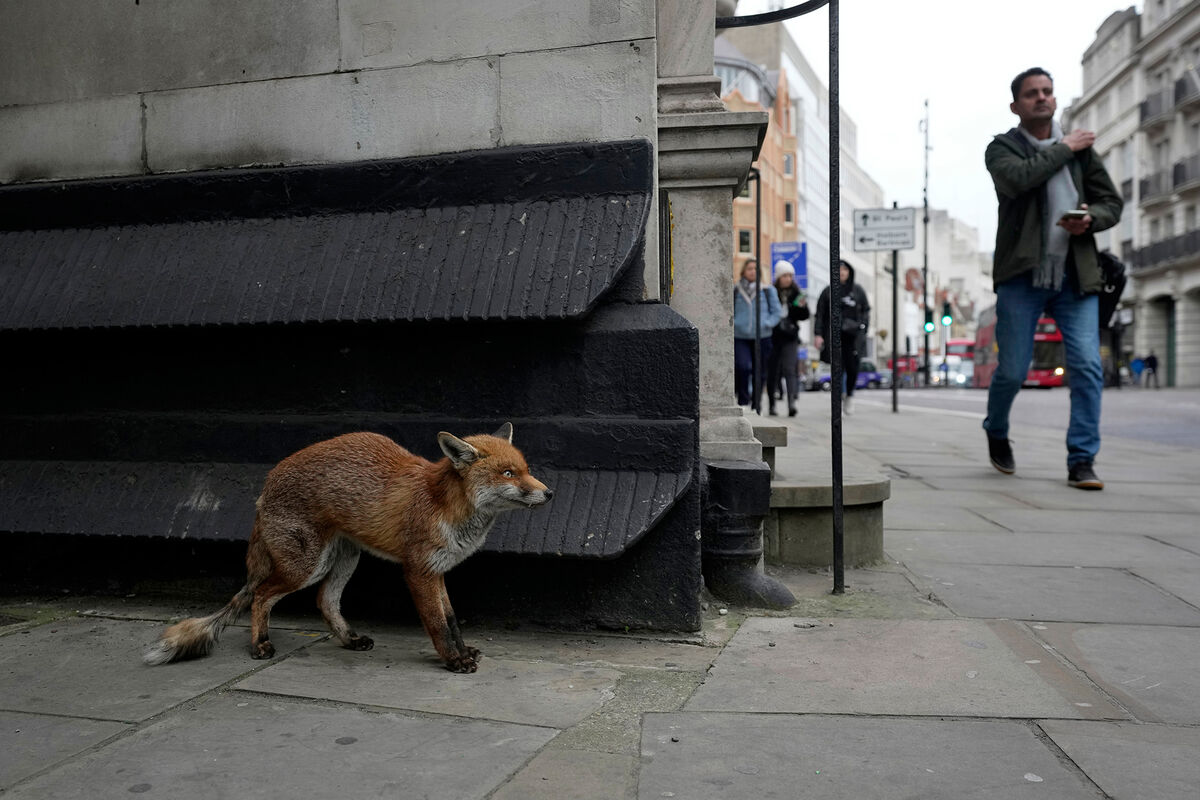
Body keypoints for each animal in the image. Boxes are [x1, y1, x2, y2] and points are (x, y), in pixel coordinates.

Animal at [145, 424, 552, 676]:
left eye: (526, 469)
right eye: (508, 474)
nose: (549, 493)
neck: (445, 506)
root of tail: (265, 486)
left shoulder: (437, 571)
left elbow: (452, 620)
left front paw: (463, 652)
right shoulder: (418, 570)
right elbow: (437, 624)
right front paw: (453, 662)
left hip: (344, 559)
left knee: (324, 600)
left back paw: (349, 640)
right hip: (306, 565)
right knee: (260, 595)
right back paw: (259, 645)